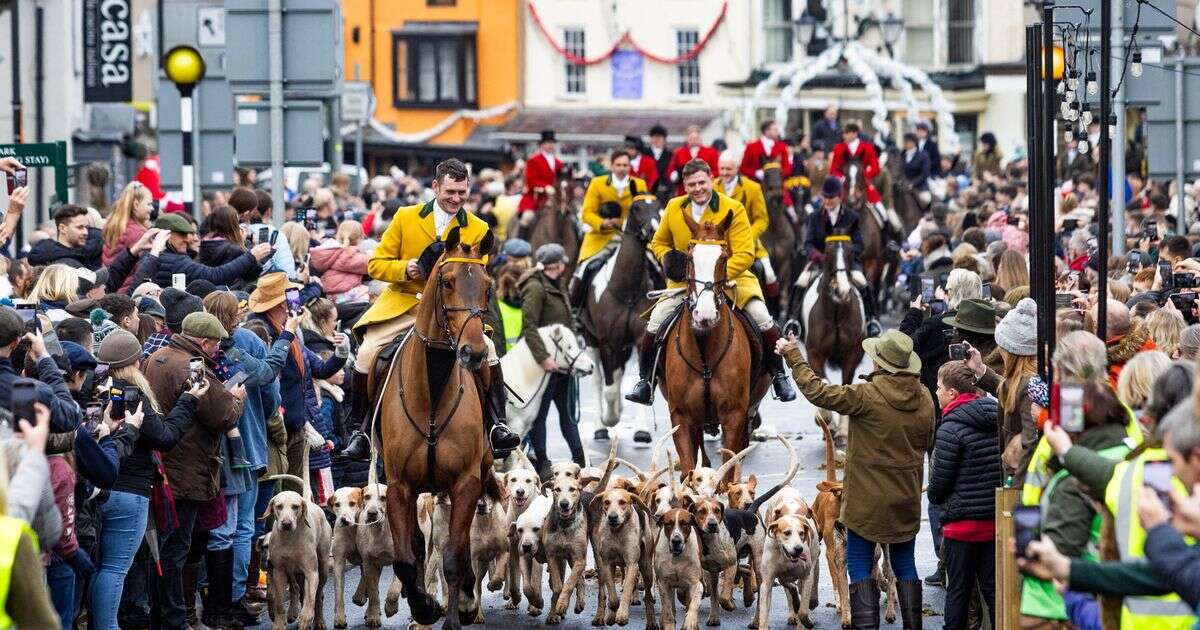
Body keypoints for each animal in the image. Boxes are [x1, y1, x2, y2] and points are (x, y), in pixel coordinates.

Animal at [381, 224, 499, 624]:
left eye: (488, 285)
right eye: (447, 282)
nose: (474, 353)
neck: (431, 392)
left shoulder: (465, 483)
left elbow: (454, 556)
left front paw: (456, 609)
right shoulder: (399, 487)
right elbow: (405, 558)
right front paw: (424, 606)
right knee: (418, 547)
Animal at [496, 321, 595, 468]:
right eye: (569, 346)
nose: (592, 366)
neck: (521, 379)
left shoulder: (523, 429)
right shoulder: (515, 426)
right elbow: (511, 460)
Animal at [657, 211, 768, 470]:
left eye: (723, 258)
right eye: (689, 257)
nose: (705, 315)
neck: (704, 348)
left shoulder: (734, 416)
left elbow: (728, 469)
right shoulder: (681, 417)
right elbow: (689, 470)